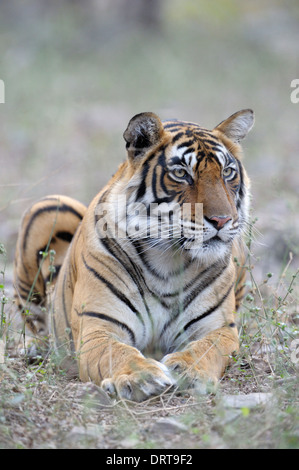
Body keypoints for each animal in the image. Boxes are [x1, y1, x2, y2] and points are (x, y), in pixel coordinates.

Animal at [12, 109, 254, 400]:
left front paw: (188, 370)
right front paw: (141, 377)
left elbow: (206, 349)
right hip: (49, 206)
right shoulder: (99, 328)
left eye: (227, 172)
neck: (169, 260)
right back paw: (33, 350)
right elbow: (117, 352)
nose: (222, 220)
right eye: (181, 173)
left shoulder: (219, 328)